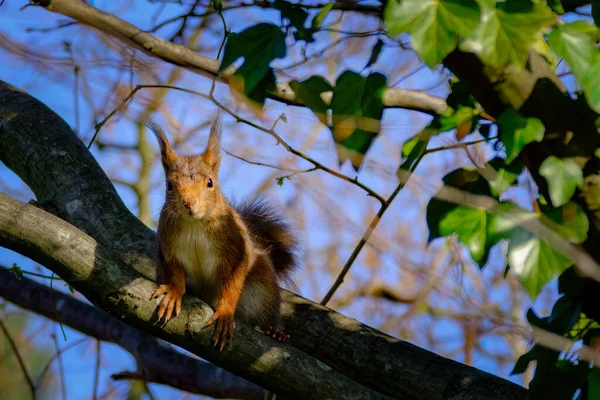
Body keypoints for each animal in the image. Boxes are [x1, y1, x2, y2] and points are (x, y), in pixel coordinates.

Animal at [148, 115, 298, 350]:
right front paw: (174, 292)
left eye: (210, 182)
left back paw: (274, 331)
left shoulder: (235, 249)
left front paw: (226, 313)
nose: (189, 203)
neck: (195, 224)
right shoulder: (168, 248)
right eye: (169, 185)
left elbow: (233, 283)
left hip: (262, 289)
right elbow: (175, 273)